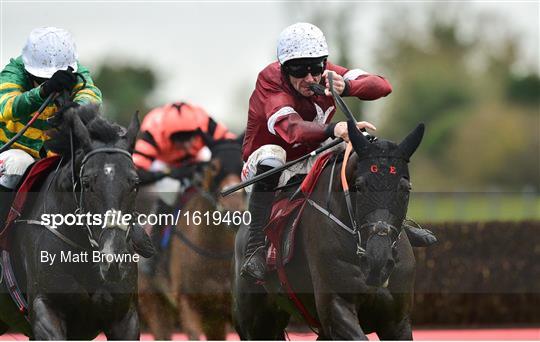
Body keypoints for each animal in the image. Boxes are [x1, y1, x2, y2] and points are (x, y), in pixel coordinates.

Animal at [232, 122, 426, 340]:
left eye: (406, 188)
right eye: (359, 186)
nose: (379, 260)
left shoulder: (396, 321)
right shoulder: (336, 307)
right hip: (256, 321)